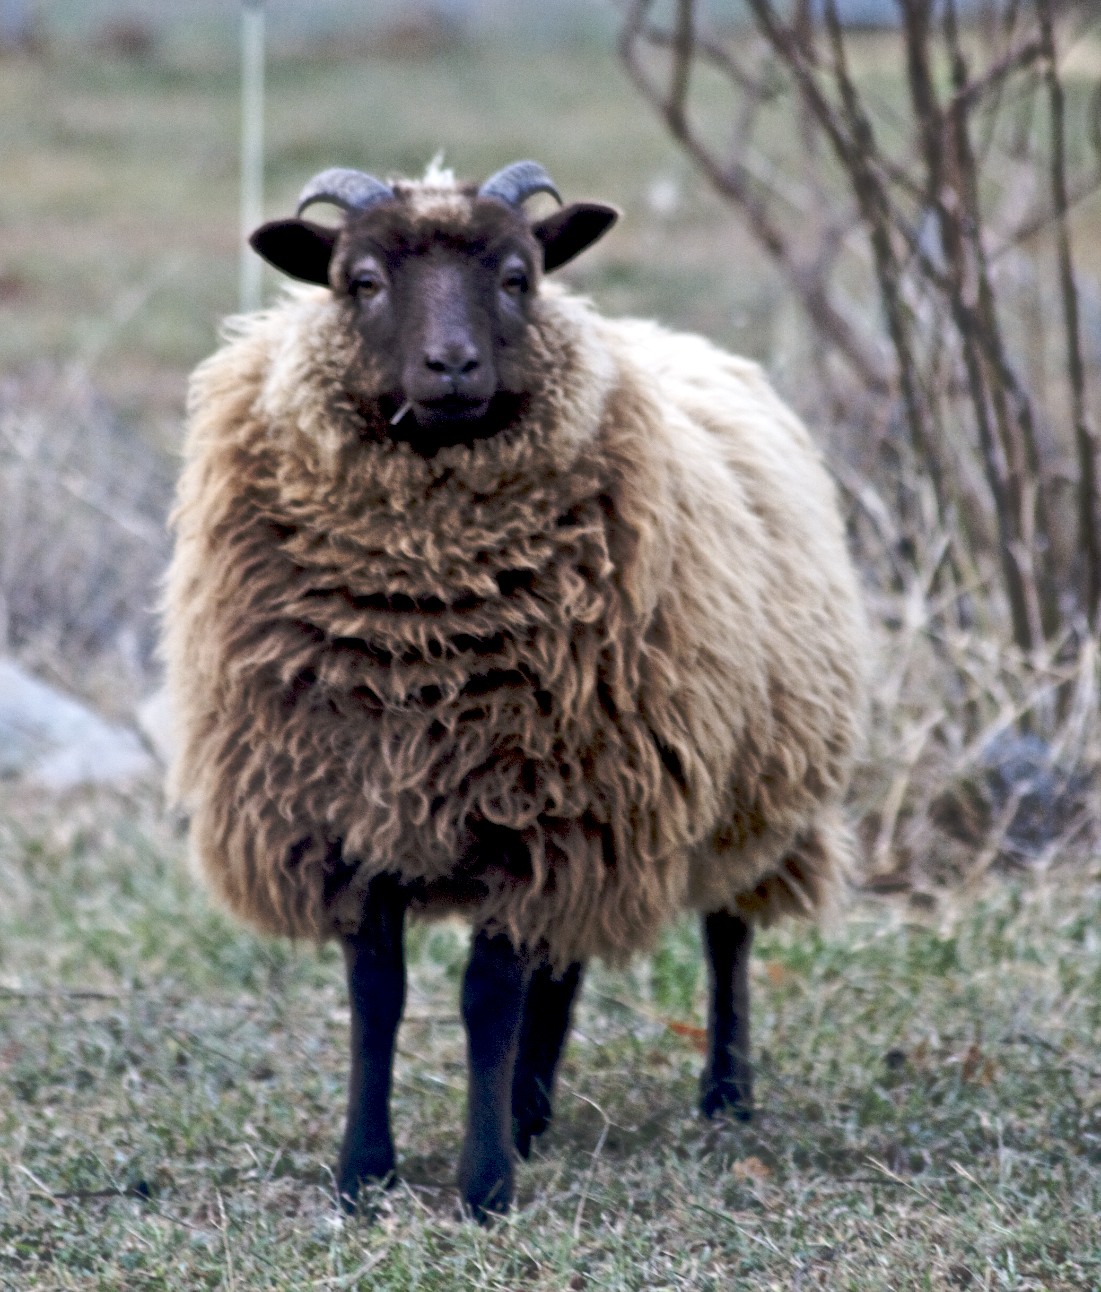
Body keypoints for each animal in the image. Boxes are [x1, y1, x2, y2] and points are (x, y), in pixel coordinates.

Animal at [163, 156, 868, 1214]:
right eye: (358, 279)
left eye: (517, 276)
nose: (452, 367)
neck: (420, 621)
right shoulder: (358, 807)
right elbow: (380, 995)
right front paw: (364, 1173)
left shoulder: (534, 812)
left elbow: (485, 998)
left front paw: (484, 1186)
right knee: (562, 963)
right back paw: (533, 1109)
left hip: (749, 780)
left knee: (726, 934)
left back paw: (724, 1095)